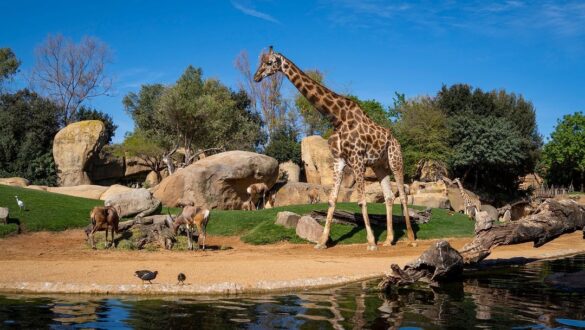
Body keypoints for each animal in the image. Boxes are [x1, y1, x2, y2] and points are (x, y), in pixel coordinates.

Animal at [253, 45, 412, 248]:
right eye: (261, 61)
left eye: (269, 62)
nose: (256, 77)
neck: (337, 118)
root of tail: (396, 141)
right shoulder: (339, 160)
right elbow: (331, 199)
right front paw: (322, 241)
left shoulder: (357, 160)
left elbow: (361, 200)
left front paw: (370, 242)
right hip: (379, 166)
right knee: (390, 196)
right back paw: (389, 239)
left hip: (395, 160)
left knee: (403, 194)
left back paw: (411, 239)